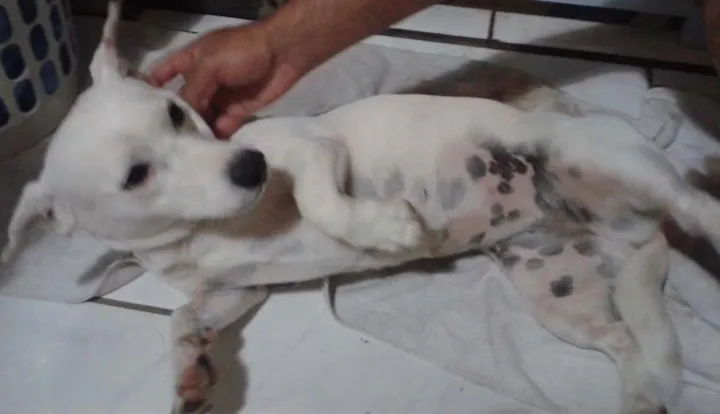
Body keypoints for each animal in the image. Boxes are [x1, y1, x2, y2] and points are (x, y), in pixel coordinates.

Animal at [5, 2, 720, 413]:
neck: (205, 231)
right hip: (560, 292)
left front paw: (386, 227)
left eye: (177, 112)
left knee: (692, 200)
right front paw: (191, 377)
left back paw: (702, 209)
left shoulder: (313, 149)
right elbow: (183, 319)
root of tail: (636, 230)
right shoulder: (235, 293)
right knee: (625, 339)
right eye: (136, 175)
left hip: (596, 157)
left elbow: (324, 203)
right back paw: (640, 397)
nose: (250, 165)